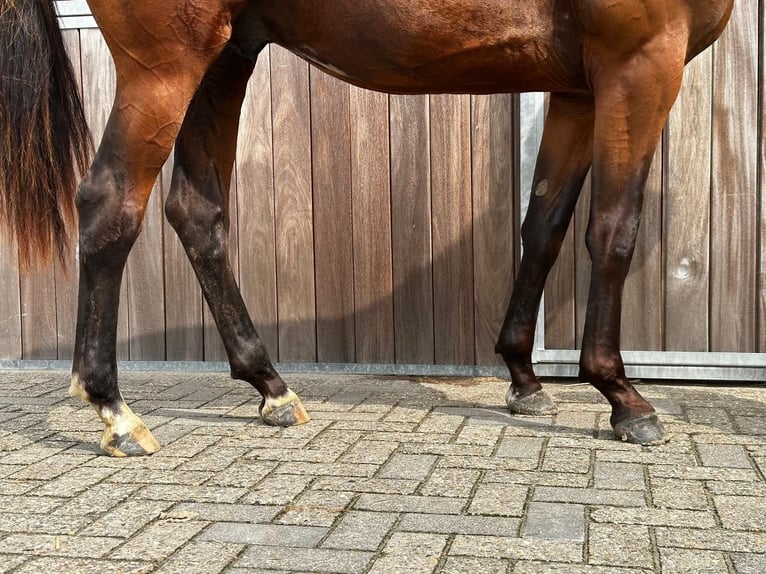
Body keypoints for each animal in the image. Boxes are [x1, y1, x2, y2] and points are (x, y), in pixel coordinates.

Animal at [0, 1, 736, 460]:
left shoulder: (579, 87)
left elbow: (545, 226)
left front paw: (525, 380)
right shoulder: (639, 62)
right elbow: (613, 230)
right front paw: (623, 399)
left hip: (224, 56)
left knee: (197, 212)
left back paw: (271, 388)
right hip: (166, 64)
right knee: (110, 205)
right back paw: (116, 412)